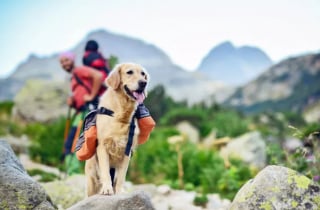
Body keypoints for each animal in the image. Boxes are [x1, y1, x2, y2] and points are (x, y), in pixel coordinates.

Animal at [85, 62, 150, 195]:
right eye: (129, 72)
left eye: (143, 74)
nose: (143, 83)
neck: (121, 113)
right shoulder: (102, 147)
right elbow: (105, 172)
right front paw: (107, 189)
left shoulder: (127, 150)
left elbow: (121, 177)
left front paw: (119, 191)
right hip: (91, 179)